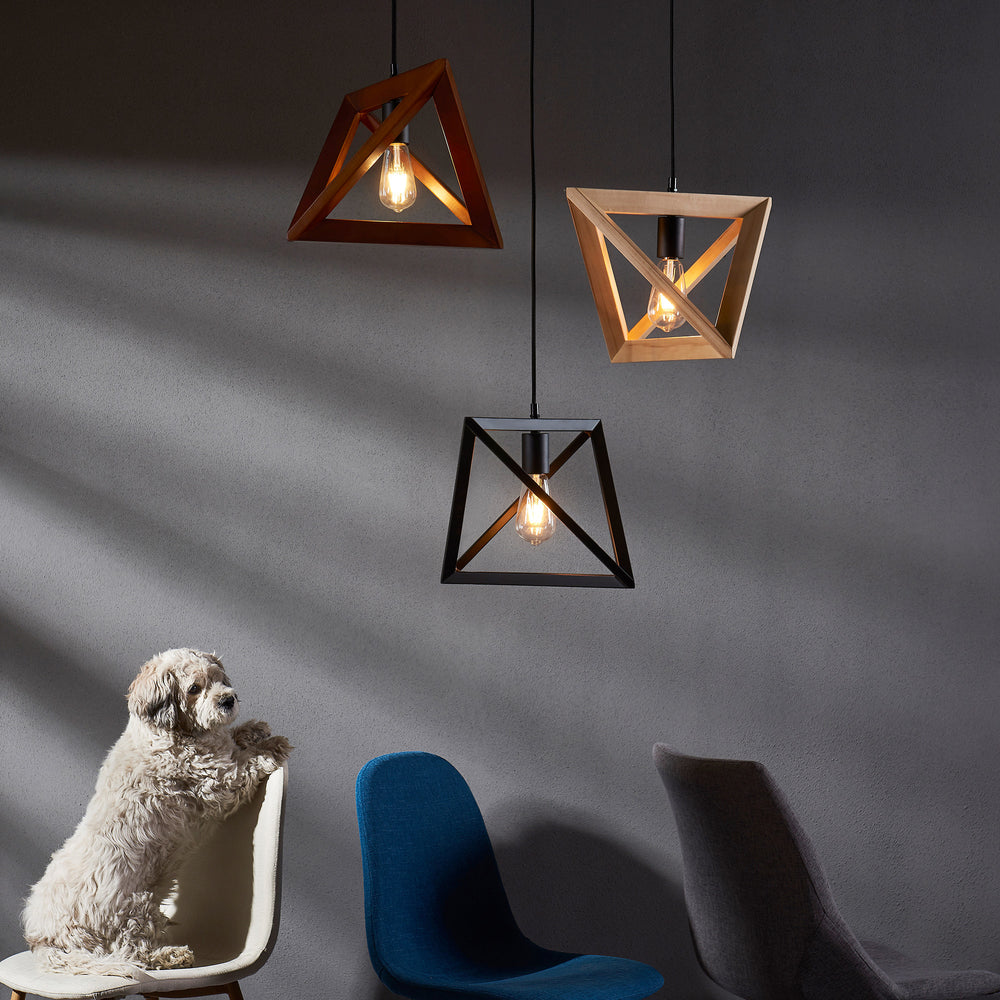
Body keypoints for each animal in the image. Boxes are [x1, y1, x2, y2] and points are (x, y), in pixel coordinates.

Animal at [21, 648, 292, 976]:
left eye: (221, 680)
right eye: (194, 689)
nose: (228, 699)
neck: (169, 732)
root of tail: (43, 939)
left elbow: (232, 738)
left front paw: (253, 729)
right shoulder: (218, 781)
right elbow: (247, 760)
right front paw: (272, 744)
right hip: (134, 909)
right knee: (134, 954)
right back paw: (172, 956)